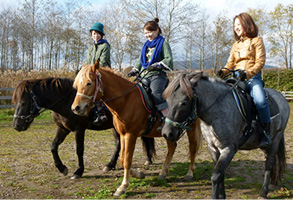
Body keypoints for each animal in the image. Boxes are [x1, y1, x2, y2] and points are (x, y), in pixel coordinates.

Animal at [12, 77, 154, 179]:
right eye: (15, 102)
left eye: (23, 102)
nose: (16, 125)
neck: (66, 101)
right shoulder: (62, 129)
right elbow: (53, 146)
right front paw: (62, 168)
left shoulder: (79, 130)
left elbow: (79, 150)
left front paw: (78, 171)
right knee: (118, 144)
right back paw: (110, 165)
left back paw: (147, 159)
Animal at [72, 61, 202, 196]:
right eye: (77, 85)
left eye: (89, 83)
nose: (76, 108)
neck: (126, 100)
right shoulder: (123, 134)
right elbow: (122, 159)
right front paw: (139, 174)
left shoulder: (131, 135)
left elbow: (127, 160)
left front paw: (123, 186)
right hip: (169, 132)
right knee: (172, 146)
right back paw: (163, 173)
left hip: (190, 126)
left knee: (192, 148)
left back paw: (189, 173)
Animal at [161, 70, 288, 198]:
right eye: (167, 101)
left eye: (184, 103)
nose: (167, 133)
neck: (215, 113)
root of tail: (282, 97)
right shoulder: (213, 148)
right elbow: (220, 175)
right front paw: (222, 196)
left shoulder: (229, 149)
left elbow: (215, 176)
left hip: (275, 140)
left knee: (269, 164)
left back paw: (263, 192)